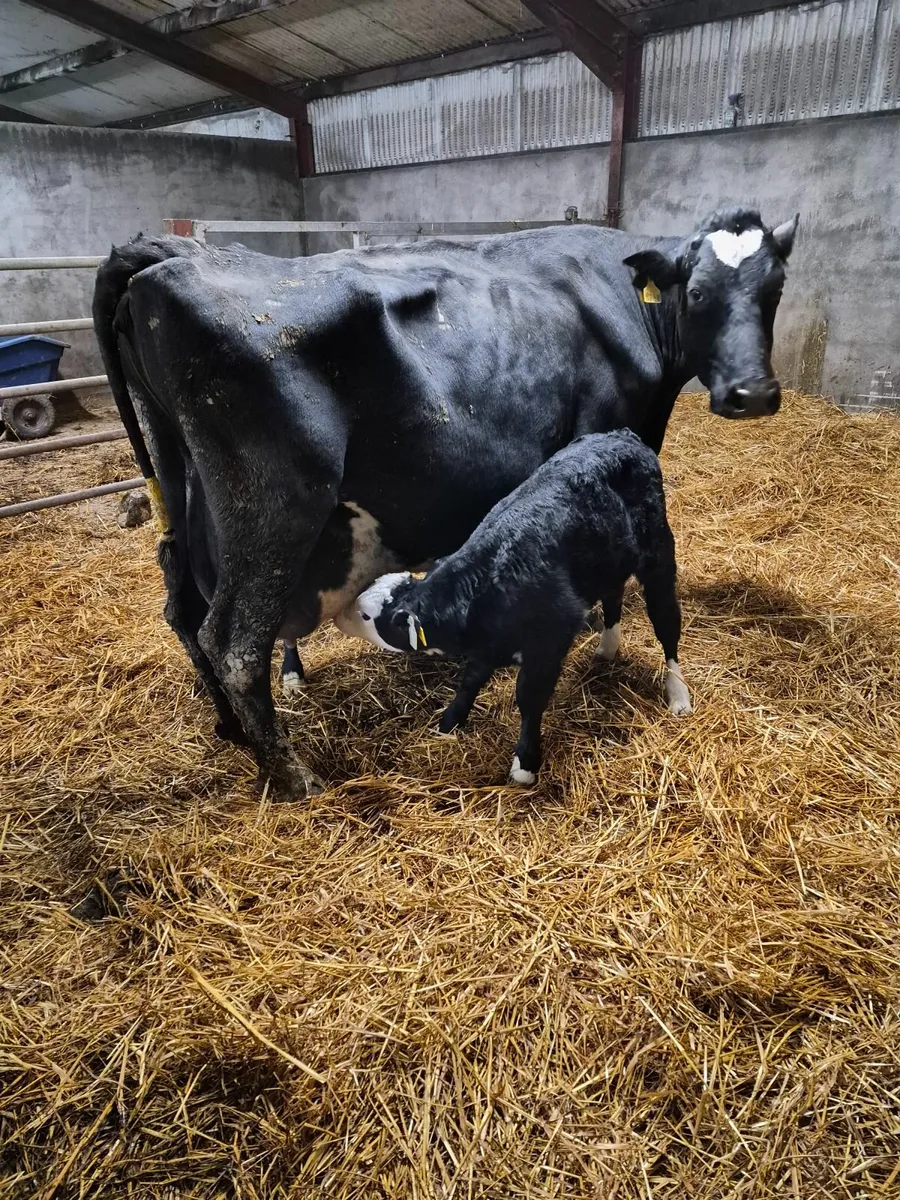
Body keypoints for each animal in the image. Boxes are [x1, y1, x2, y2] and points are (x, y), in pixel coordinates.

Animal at [333, 429, 690, 785]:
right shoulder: (487, 645)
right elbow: (470, 680)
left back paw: (678, 694)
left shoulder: (548, 642)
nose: (338, 615)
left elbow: (529, 699)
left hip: (659, 554)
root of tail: (621, 436)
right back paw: (608, 647)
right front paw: (450, 721)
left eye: (366, 615)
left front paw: (525, 762)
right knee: (614, 594)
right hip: (608, 561)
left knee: (667, 623)